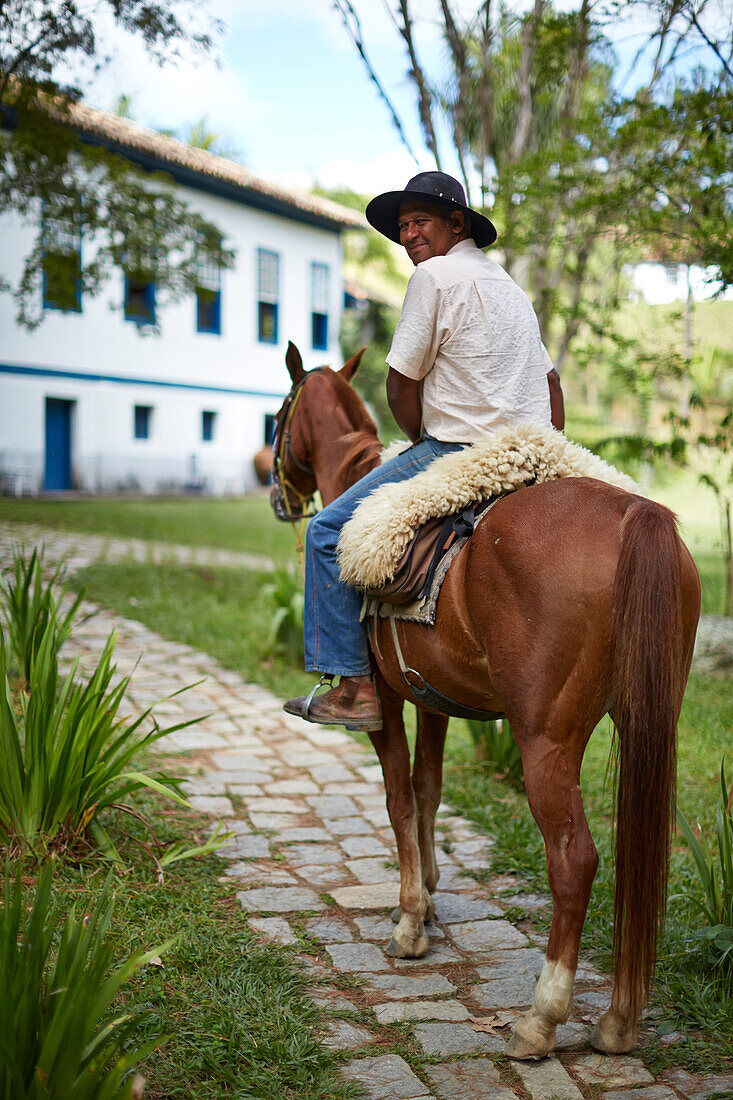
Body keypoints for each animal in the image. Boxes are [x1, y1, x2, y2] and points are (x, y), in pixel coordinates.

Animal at [270, 338, 699, 1060]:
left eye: (278, 415)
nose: (276, 493)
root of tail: (633, 515)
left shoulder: (386, 701)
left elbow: (396, 795)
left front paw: (410, 924)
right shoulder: (433, 697)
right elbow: (427, 789)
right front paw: (425, 897)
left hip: (544, 738)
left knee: (574, 859)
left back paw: (540, 1019)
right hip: (650, 718)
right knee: (639, 855)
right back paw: (618, 1019)